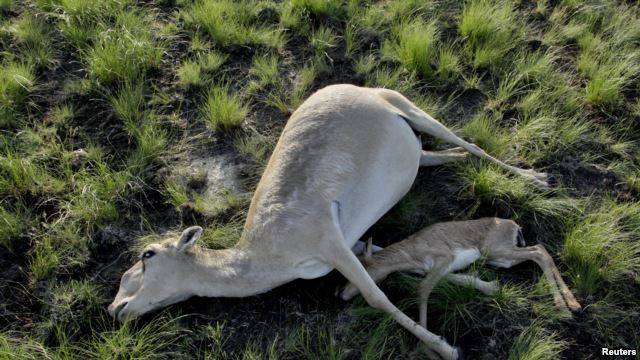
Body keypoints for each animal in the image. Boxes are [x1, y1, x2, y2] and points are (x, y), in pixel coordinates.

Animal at [107, 85, 548, 360]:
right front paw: (486, 285)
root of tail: (349, 88)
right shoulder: (353, 245)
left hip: (412, 109)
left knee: (470, 143)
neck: (265, 252)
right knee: (437, 155)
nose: (116, 309)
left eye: (147, 254)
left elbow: (376, 296)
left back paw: (537, 177)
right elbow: (402, 261)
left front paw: (446, 347)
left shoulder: (331, 242)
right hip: (415, 143)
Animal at [342, 217, 584, 330]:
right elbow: (465, 279)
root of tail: (514, 224)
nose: (341, 294)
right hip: (500, 259)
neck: (411, 252)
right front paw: (492, 288)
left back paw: (566, 308)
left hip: (496, 251)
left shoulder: (444, 259)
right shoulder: (440, 269)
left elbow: (423, 289)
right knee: (540, 250)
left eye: (362, 266)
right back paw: (571, 305)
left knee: (539, 252)